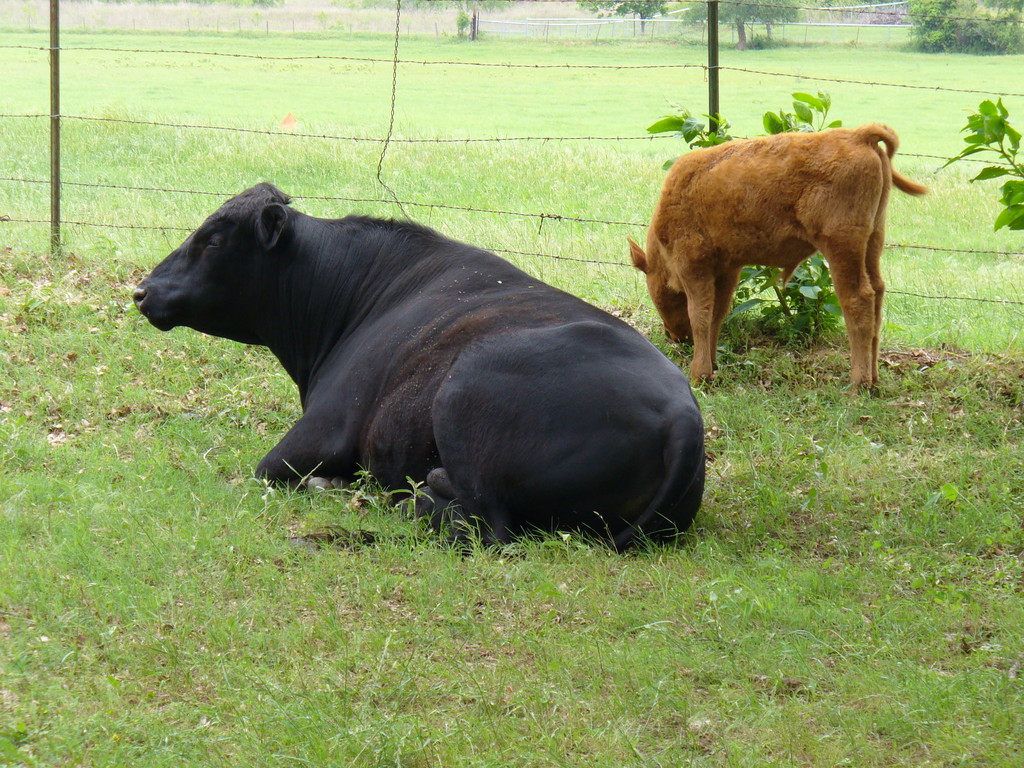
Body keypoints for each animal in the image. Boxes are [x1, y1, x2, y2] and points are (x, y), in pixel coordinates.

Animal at [134, 183, 705, 549]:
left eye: (212, 240)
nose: (142, 290)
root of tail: (681, 411)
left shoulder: (322, 429)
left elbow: (267, 470)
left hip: (463, 389)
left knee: (487, 529)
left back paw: (417, 497)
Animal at [629, 123, 928, 388]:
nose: (673, 336)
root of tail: (858, 135)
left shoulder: (694, 265)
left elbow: (700, 315)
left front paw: (698, 375)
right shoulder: (727, 269)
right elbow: (717, 314)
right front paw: (711, 366)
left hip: (842, 245)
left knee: (858, 298)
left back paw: (858, 383)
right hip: (873, 240)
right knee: (877, 291)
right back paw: (874, 378)